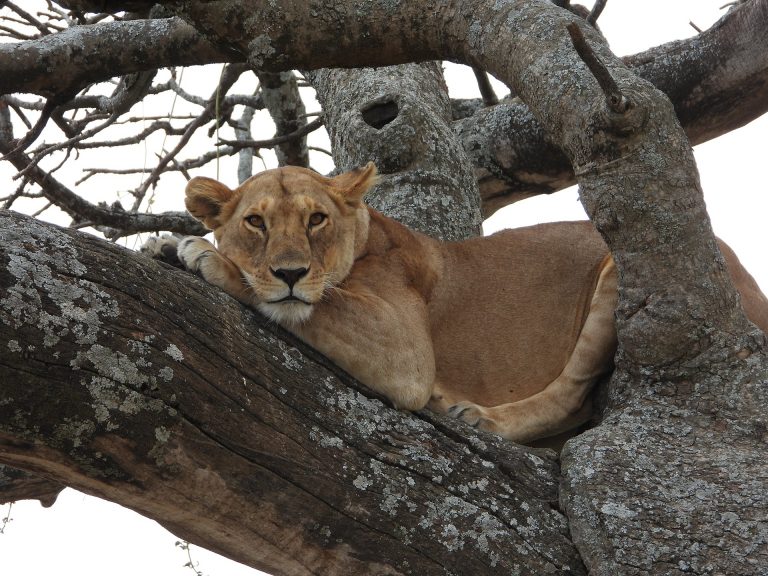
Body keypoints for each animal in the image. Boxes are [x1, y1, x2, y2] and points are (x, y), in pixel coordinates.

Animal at [143, 163, 768, 445]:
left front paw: (204, 255)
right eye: (256, 222)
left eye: (316, 219)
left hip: (621, 268)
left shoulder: (405, 351)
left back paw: (475, 415)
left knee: (570, 397)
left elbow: (308, 302)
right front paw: (162, 245)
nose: (292, 272)